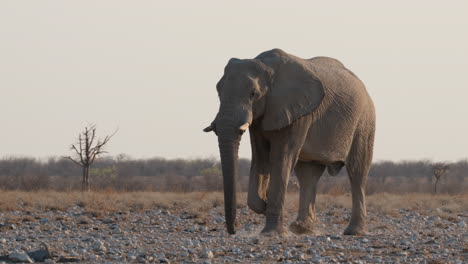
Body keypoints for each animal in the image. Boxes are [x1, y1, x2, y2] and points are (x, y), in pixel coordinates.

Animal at [204, 48, 376, 235]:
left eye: (253, 94)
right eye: (218, 91)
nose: (234, 229)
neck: (266, 66)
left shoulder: (298, 112)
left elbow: (281, 158)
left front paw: (271, 231)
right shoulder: (264, 115)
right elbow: (261, 158)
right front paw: (264, 205)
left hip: (364, 121)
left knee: (357, 172)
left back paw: (354, 231)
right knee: (308, 174)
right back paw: (302, 228)